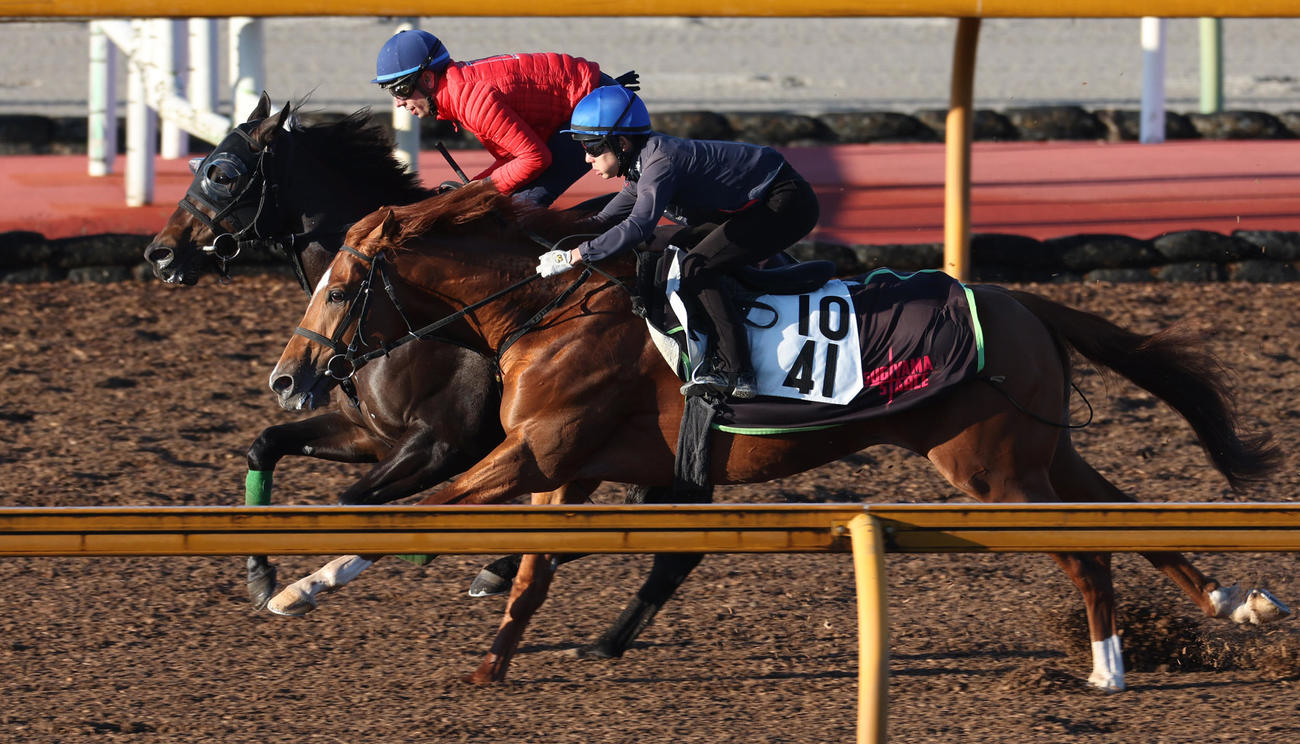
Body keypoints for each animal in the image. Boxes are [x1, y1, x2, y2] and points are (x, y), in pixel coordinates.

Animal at [142, 95, 701, 651]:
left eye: (222, 172)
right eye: (198, 163)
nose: (159, 252)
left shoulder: (443, 444)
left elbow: (354, 501)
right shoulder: (370, 434)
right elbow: (265, 446)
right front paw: (261, 578)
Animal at [265, 183, 1288, 689]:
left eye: (340, 288)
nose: (286, 377)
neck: (547, 309)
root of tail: (1022, 301)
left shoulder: (537, 451)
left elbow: (429, 508)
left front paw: (300, 587)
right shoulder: (568, 468)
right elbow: (531, 572)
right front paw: (493, 664)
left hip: (992, 469)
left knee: (1084, 551)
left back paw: (1108, 668)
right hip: (1040, 449)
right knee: (1122, 511)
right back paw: (1234, 600)